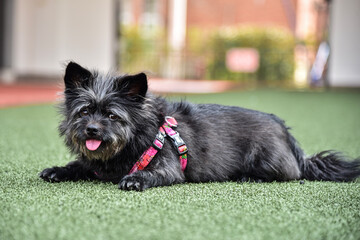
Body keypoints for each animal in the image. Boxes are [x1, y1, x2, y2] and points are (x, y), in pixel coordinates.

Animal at [39, 62, 360, 191]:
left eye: (112, 116)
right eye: (84, 112)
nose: (92, 130)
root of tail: (285, 130)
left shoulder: (166, 166)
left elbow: (150, 173)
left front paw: (135, 179)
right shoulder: (94, 164)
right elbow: (79, 165)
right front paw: (58, 170)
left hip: (268, 160)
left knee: (289, 175)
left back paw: (249, 177)